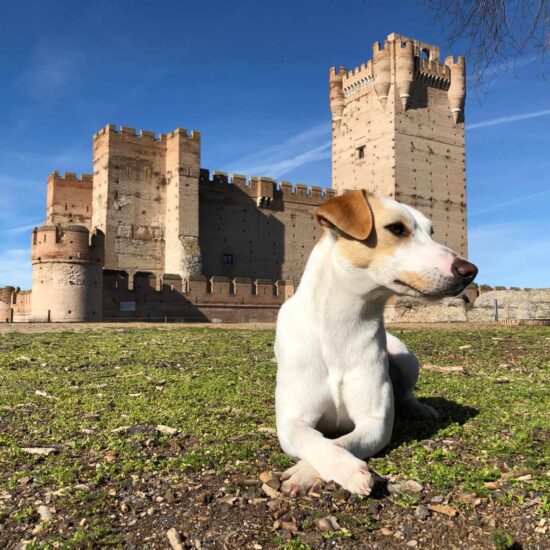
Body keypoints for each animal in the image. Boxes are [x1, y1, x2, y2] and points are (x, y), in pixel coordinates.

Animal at [276, 192, 478, 498]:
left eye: (431, 231)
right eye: (396, 229)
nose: (470, 270)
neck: (341, 325)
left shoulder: (376, 423)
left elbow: (340, 442)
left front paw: (313, 471)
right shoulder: (291, 421)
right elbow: (314, 439)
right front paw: (332, 470)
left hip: (406, 359)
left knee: (405, 393)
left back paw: (420, 408)